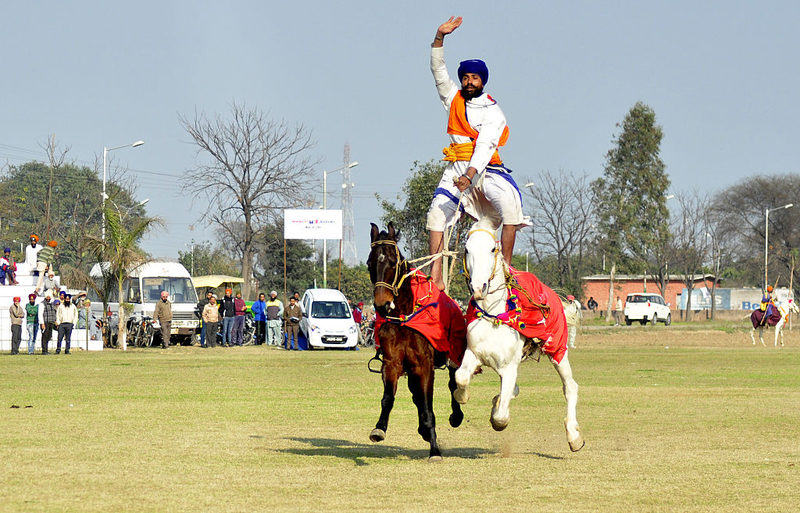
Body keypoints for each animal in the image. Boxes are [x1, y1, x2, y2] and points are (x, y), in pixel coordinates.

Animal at [368, 221, 466, 460]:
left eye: (393, 262)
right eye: (369, 263)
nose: (381, 305)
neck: (404, 318)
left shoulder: (424, 364)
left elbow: (427, 404)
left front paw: (435, 450)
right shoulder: (393, 362)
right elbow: (389, 398)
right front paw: (379, 428)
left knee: (452, 382)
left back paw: (455, 416)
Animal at [454, 218, 584, 450]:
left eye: (492, 248)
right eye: (467, 249)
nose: (478, 288)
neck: (494, 316)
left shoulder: (509, 366)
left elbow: (500, 417)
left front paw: (498, 417)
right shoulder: (473, 353)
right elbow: (460, 377)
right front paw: (463, 395)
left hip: (557, 350)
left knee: (570, 387)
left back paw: (573, 436)